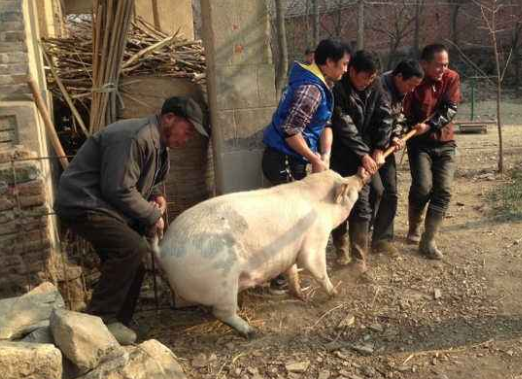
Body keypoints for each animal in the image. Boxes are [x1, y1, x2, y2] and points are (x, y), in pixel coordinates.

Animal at [152, 169, 364, 338]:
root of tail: (162, 249)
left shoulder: (290, 251)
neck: (322, 206)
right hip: (223, 282)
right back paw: (252, 331)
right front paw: (335, 293)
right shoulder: (315, 238)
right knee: (222, 313)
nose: (360, 176)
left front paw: (301, 296)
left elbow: (292, 271)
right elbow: (314, 266)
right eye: (348, 188)